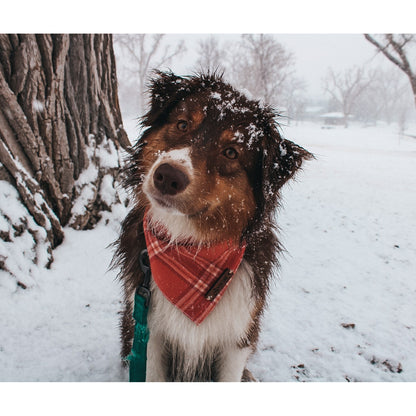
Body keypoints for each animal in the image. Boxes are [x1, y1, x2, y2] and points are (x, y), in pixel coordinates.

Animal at [112, 71, 310, 380]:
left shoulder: (237, 339)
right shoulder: (148, 335)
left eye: (231, 152)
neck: (190, 249)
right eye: (182, 124)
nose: (168, 176)